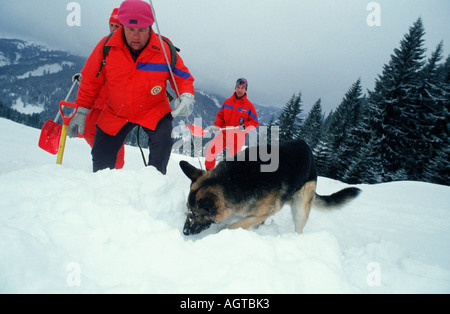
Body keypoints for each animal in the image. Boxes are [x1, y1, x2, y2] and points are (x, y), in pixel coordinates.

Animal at [181, 139, 360, 236]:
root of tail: (307, 148)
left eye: (198, 214)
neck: (232, 179)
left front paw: (220, 232)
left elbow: (234, 225)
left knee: (299, 226)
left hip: (300, 207)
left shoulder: (264, 211)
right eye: (188, 210)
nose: (185, 232)